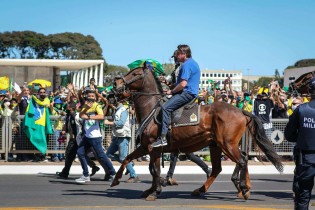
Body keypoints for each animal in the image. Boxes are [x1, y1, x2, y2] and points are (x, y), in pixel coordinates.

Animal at [111, 65, 284, 200]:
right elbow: (128, 159)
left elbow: (154, 170)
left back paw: (243, 188)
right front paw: (118, 180)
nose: (115, 84)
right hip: (216, 145)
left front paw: (155, 191)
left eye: (135, 74)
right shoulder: (146, 147)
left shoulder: (154, 148)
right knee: (220, 167)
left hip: (227, 144)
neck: (152, 109)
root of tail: (241, 111)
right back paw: (206, 189)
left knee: (241, 161)